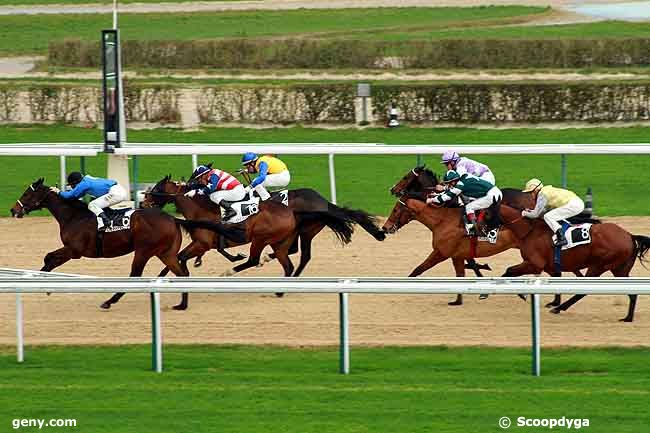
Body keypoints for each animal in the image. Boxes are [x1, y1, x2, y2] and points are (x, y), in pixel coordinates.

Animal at [8, 177, 243, 308]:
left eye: (27, 193)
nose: (13, 209)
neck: (74, 216)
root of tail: (173, 218)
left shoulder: (74, 250)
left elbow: (50, 257)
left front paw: (43, 283)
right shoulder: (72, 250)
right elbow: (49, 258)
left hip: (144, 251)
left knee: (135, 275)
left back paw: (109, 301)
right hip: (165, 252)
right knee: (182, 273)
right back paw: (181, 304)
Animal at [143, 174, 384, 308]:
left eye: (155, 189)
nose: (143, 203)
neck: (201, 207)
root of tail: (323, 202)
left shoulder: (203, 243)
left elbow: (181, 257)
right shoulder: (204, 244)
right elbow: (177, 258)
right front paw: (166, 277)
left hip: (270, 237)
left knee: (268, 258)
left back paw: (235, 271)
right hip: (285, 238)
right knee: (290, 258)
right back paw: (280, 284)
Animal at [492, 202, 648, 320]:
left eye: (486, 212)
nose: (488, 232)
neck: (530, 231)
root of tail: (629, 235)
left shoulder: (535, 265)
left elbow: (509, 270)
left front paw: (517, 293)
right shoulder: (551, 266)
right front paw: (553, 302)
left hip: (598, 265)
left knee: (583, 291)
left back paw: (560, 309)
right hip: (619, 269)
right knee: (632, 292)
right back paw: (628, 317)